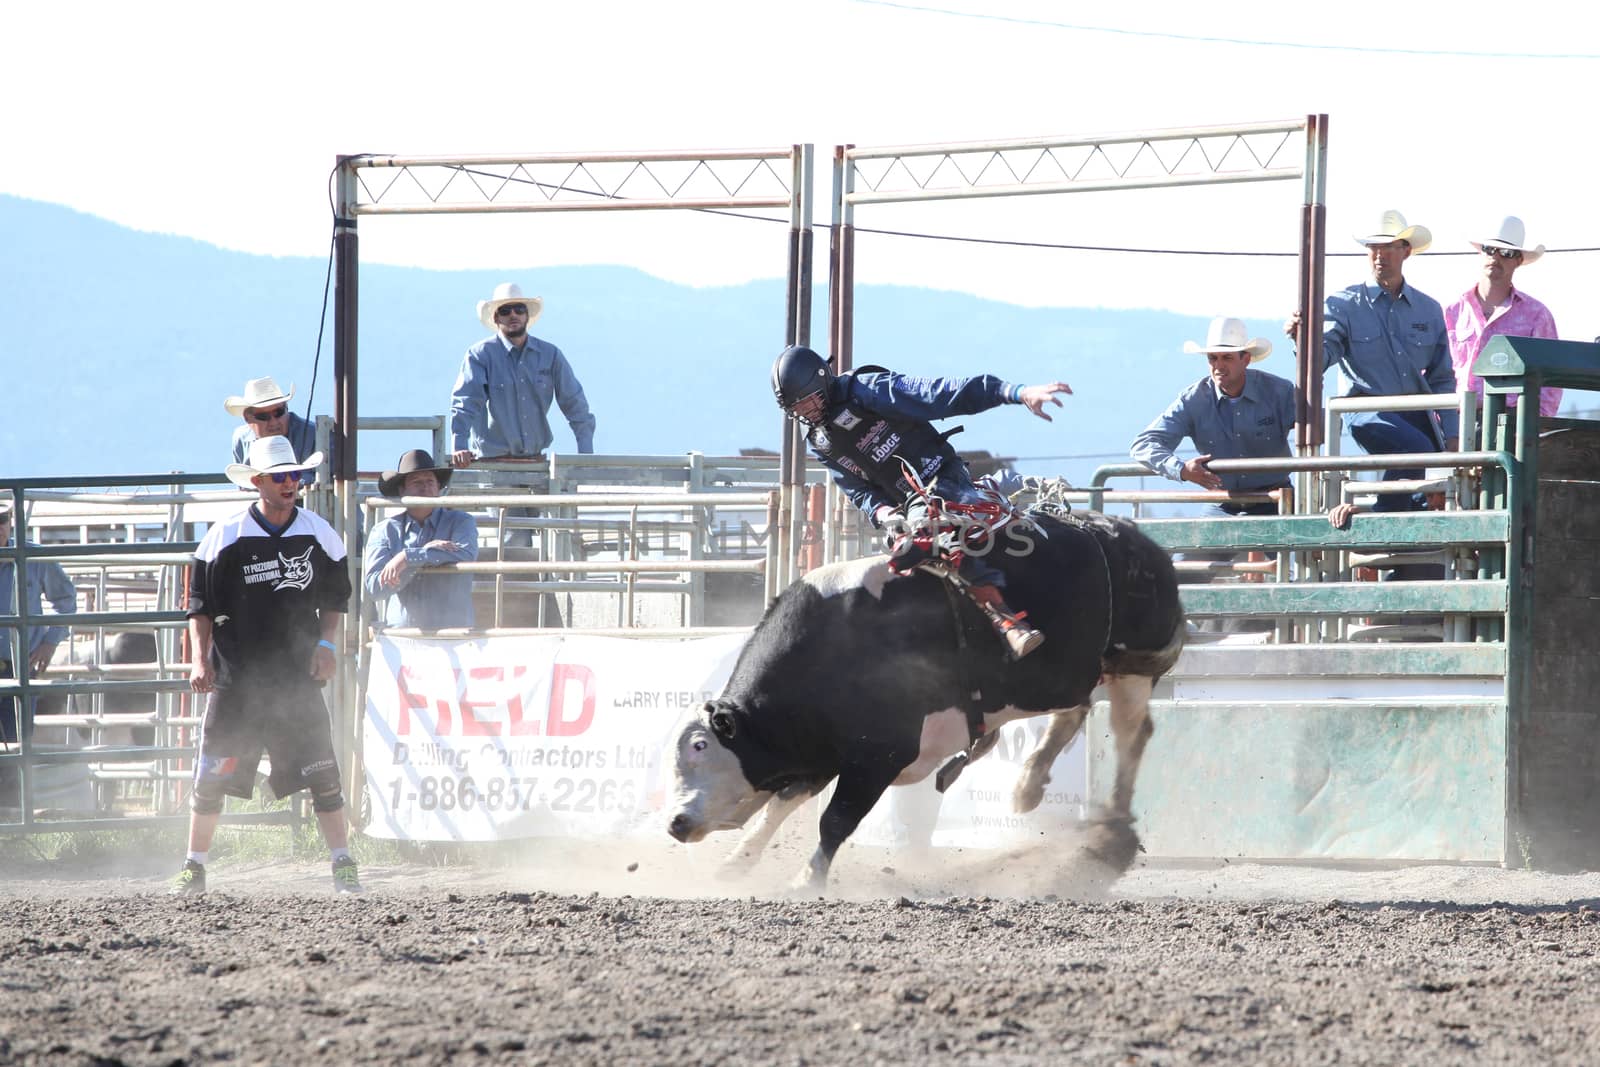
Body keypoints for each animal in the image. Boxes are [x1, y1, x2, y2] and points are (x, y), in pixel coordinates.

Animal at [665, 508, 1190, 895]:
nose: (675, 822)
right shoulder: (821, 754)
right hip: (1073, 676)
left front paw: (805, 880)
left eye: (700, 749)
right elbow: (780, 807)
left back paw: (1113, 825)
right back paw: (1028, 786)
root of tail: (1138, 541)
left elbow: (835, 821)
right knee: (1074, 713)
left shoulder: (878, 755)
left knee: (1130, 734)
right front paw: (735, 865)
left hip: (1132, 668)